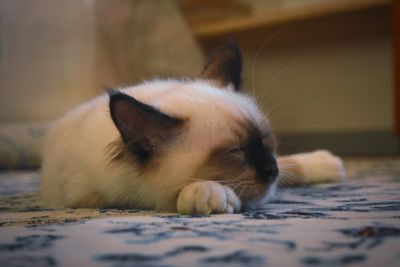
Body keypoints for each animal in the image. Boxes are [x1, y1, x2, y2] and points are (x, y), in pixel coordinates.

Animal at [40, 44, 346, 216]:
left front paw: (328, 165)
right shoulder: (97, 196)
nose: (271, 170)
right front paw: (211, 194)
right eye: (235, 152)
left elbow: (292, 164)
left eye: (266, 140)